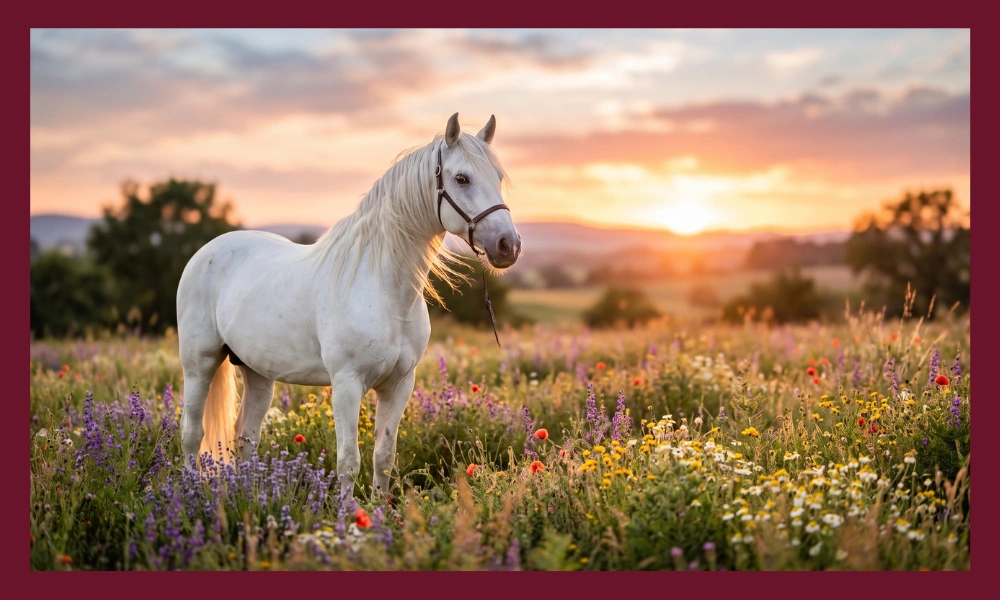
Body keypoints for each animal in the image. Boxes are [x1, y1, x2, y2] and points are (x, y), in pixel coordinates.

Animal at [176, 113, 521, 496]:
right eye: (462, 178)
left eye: (498, 177)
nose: (508, 245)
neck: (383, 289)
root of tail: (207, 250)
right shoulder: (346, 385)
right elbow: (348, 463)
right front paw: (348, 513)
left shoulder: (399, 385)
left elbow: (383, 458)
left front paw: (380, 509)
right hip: (199, 363)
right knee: (192, 433)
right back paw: (189, 491)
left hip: (258, 372)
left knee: (246, 437)